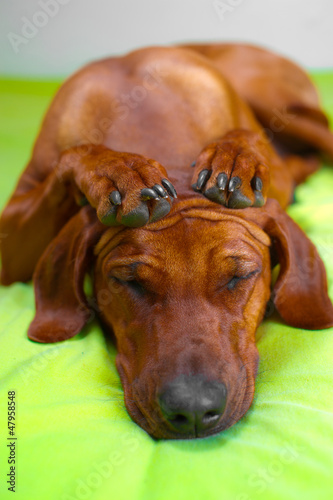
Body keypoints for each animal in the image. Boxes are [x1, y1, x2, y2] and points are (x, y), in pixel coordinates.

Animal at [1, 45, 332, 440]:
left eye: (240, 277)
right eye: (129, 281)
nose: (194, 410)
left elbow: (247, 138)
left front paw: (236, 156)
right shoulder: (10, 235)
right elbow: (75, 154)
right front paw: (117, 169)